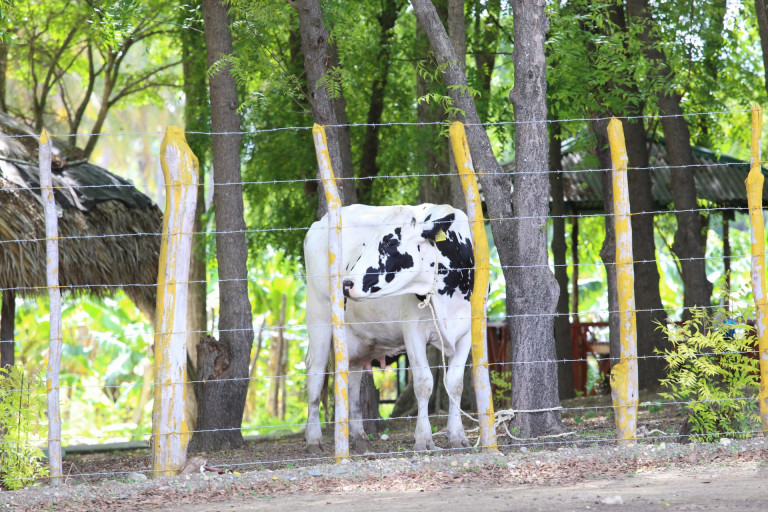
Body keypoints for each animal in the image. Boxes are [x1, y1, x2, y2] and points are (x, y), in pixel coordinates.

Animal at [303, 203, 475, 453]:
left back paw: (358, 435)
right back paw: (314, 438)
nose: (347, 283)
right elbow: (423, 383)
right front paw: (424, 439)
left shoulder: (467, 331)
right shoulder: (413, 330)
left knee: (352, 376)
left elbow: (455, 384)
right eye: (366, 244)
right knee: (315, 372)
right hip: (319, 316)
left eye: (390, 243)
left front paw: (457, 436)